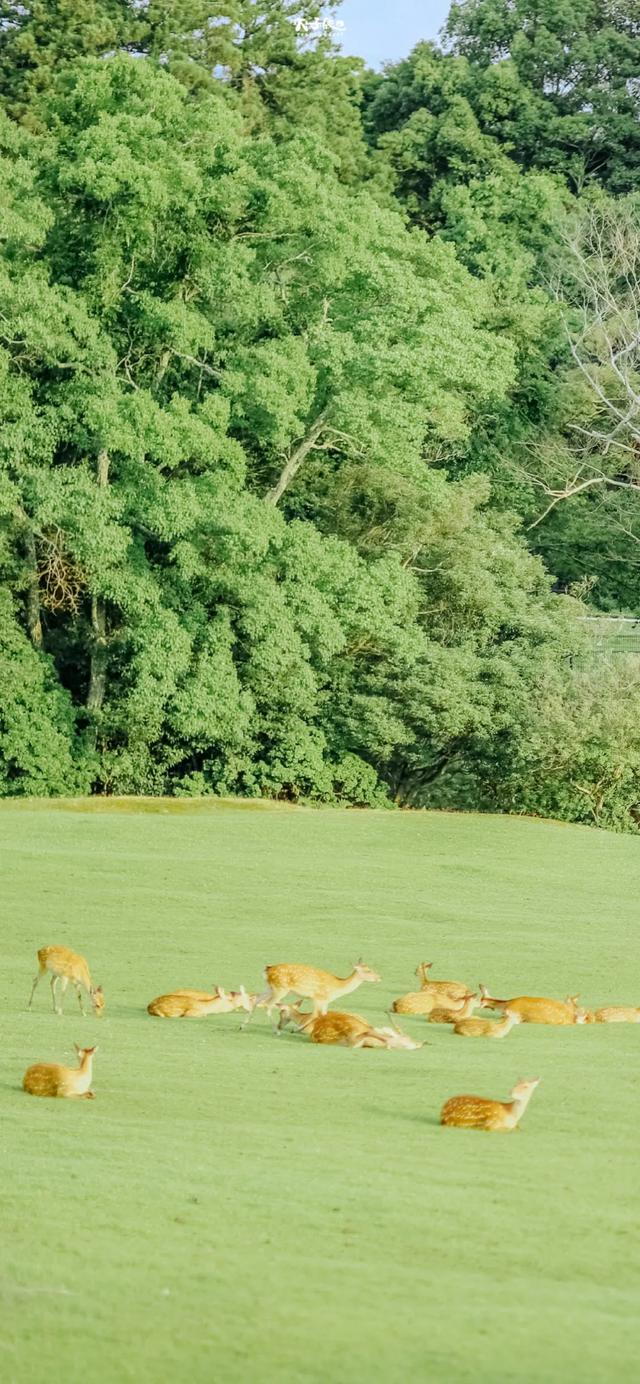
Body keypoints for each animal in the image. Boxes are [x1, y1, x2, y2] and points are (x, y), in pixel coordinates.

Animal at [246, 957, 379, 1024]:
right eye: (368, 970)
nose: (379, 977)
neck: (337, 987)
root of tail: (267, 970)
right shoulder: (317, 997)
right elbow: (315, 1015)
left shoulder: (325, 1001)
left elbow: (324, 1015)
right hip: (281, 989)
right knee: (268, 1004)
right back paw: (276, 1030)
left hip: (269, 987)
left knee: (256, 1000)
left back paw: (244, 1025)